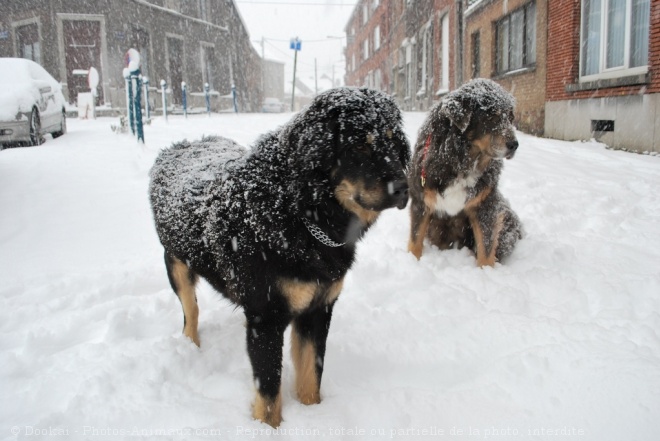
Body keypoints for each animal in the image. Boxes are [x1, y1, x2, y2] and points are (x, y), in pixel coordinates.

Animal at [150, 86, 410, 426]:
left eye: (393, 142)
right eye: (358, 146)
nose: (404, 187)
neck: (296, 212)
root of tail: (179, 147)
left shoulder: (318, 309)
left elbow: (311, 376)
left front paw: (314, 417)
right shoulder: (266, 318)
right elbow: (270, 391)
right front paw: (268, 428)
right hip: (176, 263)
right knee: (190, 311)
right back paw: (190, 346)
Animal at [404, 77, 524, 266]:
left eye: (510, 117)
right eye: (492, 116)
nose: (514, 145)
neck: (461, 161)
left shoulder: (485, 207)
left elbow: (486, 249)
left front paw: (486, 271)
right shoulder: (421, 201)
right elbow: (415, 240)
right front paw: (412, 262)